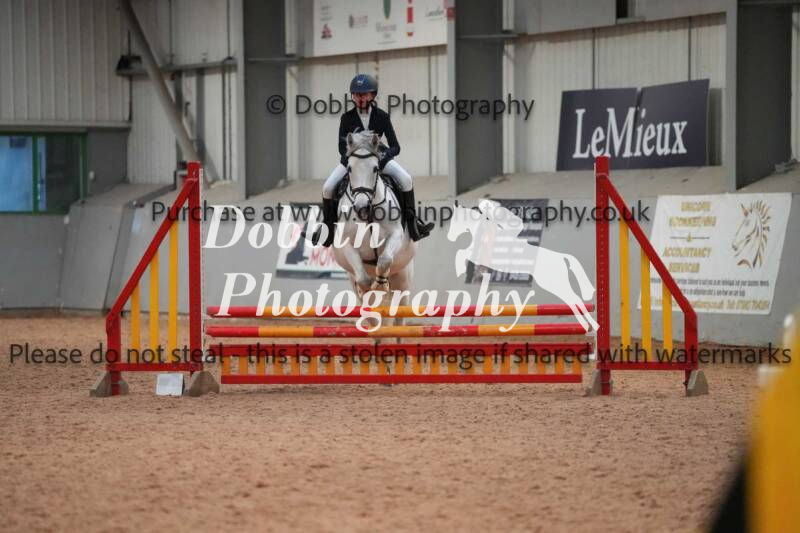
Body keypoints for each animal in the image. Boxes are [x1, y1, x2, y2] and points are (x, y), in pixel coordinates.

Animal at [330, 131, 415, 326]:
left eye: (376, 168)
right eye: (349, 169)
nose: (361, 207)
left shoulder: (396, 235)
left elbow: (384, 260)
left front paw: (380, 284)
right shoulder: (347, 245)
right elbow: (363, 280)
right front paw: (370, 288)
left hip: (403, 278)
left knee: (400, 314)